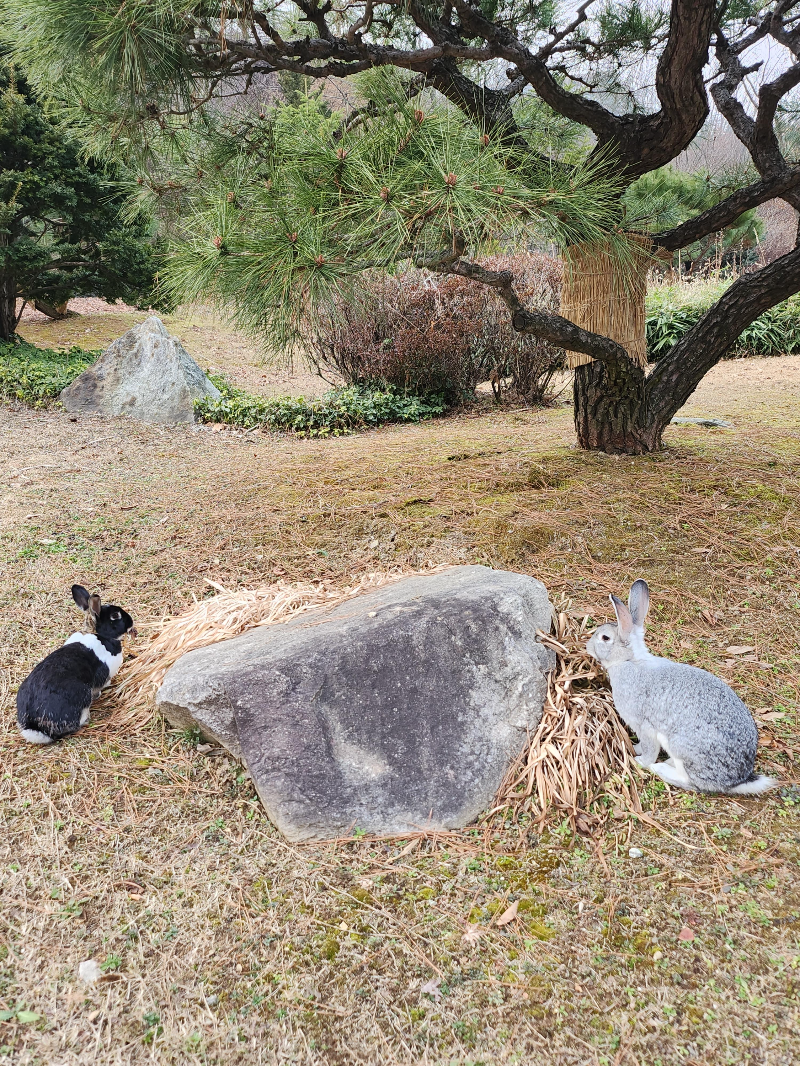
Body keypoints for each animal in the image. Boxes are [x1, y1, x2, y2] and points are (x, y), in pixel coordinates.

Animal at [588, 584, 776, 793]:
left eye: (605, 638)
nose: (588, 646)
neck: (630, 660)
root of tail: (737, 780)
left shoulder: (644, 726)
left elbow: (648, 749)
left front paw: (638, 759)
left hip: (682, 748)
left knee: (690, 782)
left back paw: (660, 768)